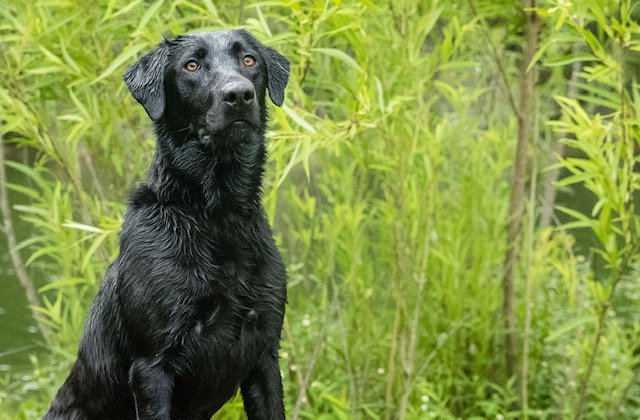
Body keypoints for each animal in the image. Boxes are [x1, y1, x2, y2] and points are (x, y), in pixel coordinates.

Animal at [46, 27, 292, 418]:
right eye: (191, 65)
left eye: (249, 59)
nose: (238, 95)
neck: (216, 217)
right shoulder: (152, 365)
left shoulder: (265, 352)